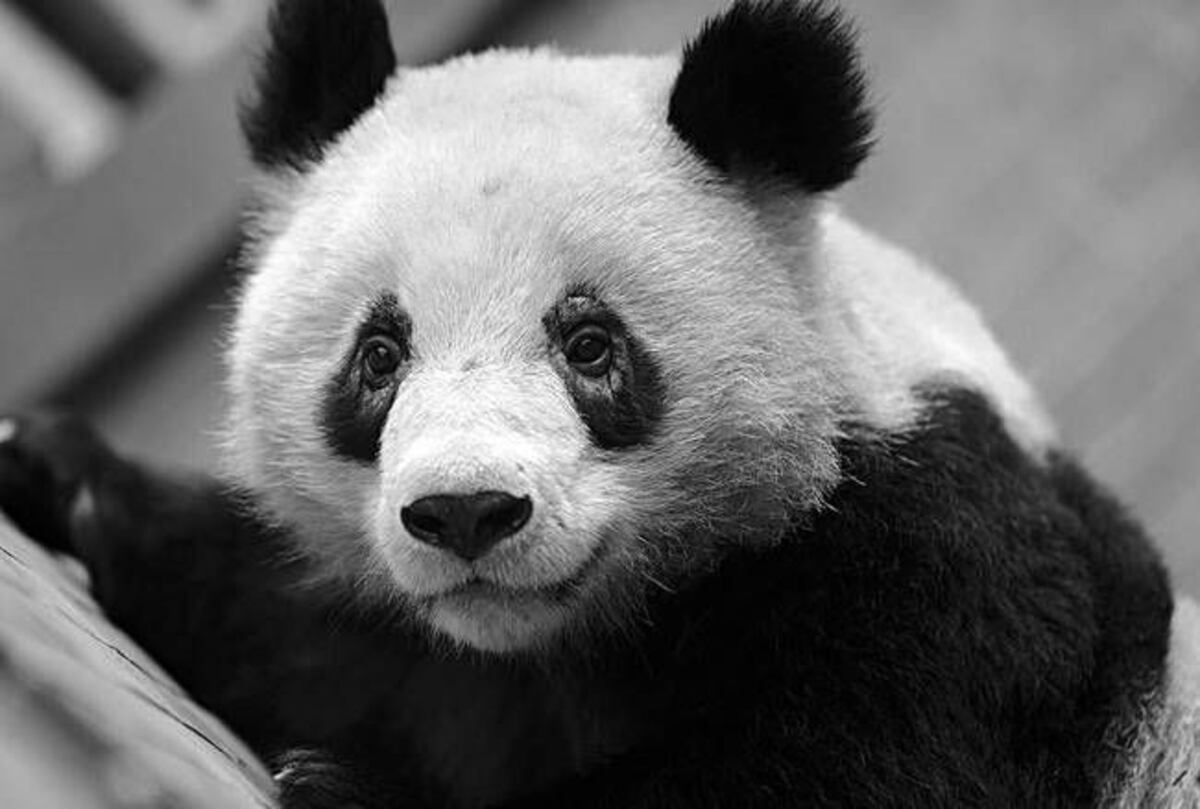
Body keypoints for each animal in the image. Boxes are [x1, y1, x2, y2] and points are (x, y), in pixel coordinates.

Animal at [0, 0, 1197, 806]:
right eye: (379, 355)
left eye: (588, 345)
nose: (466, 512)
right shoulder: (434, 657)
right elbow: (289, 630)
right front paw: (55, 468)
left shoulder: (953, 557)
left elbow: (860, 764)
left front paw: (352, 790)